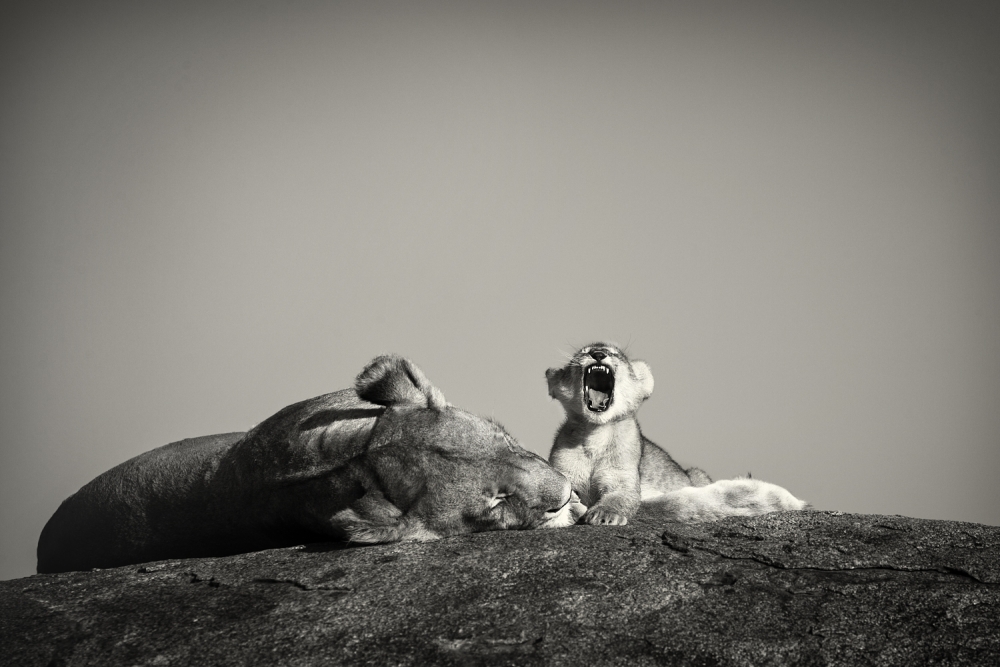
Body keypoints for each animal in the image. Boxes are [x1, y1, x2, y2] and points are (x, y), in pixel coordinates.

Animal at [546, 342, 807, 526]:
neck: (594, 435)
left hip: (697, 474)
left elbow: (622, 496)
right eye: (583, 352)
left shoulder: (624, 479)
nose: (599, 354)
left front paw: (604, 515)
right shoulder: (562, 474)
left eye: (617, 354)